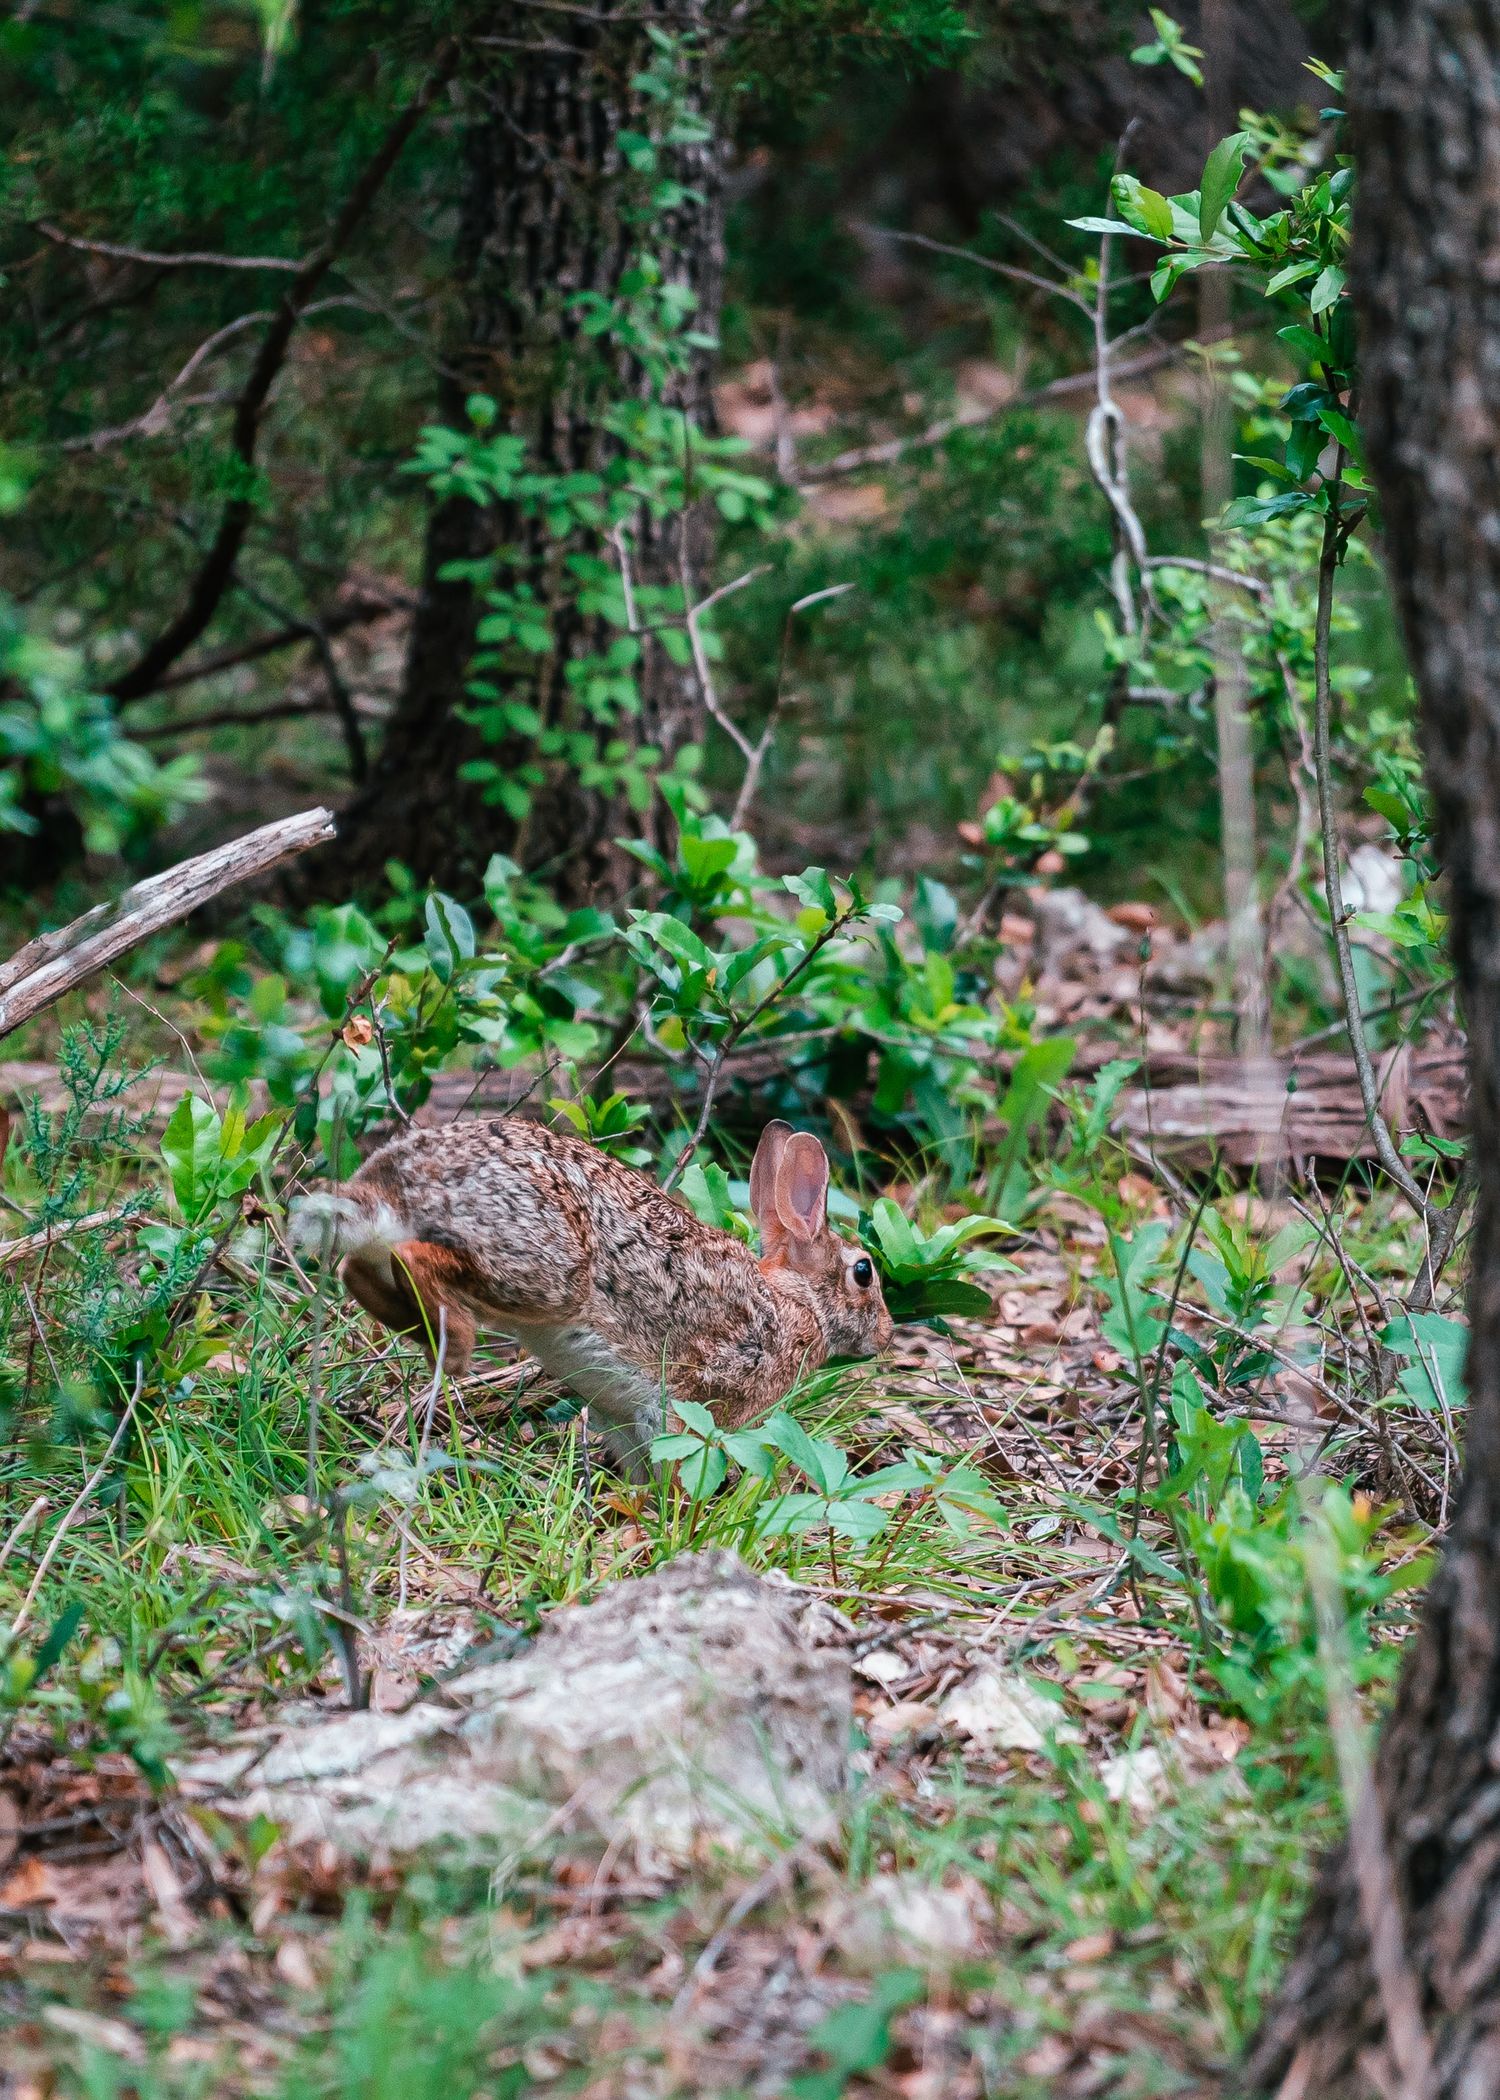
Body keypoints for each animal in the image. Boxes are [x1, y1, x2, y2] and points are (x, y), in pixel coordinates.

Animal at [290, 1117, 893, 1478]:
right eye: (863, 1272)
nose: (887, 1336)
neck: (795, 1304)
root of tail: (396, 1182)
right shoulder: (689, 1400)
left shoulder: (623, 1416)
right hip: (547, 1271)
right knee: (416, 1260)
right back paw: (454, 1342)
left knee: (357, 1270)